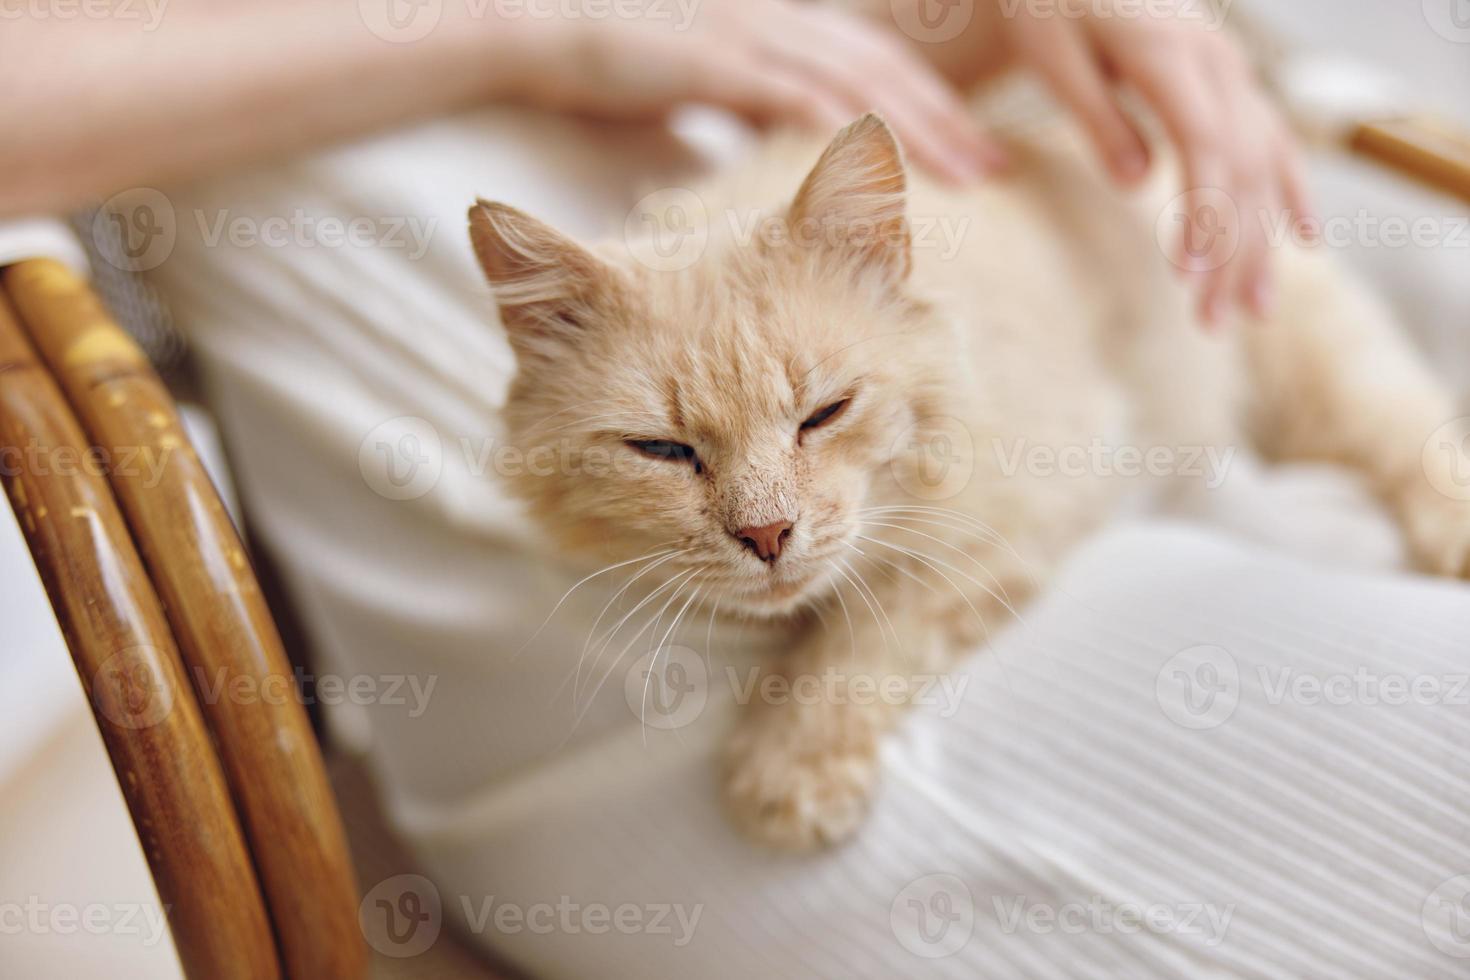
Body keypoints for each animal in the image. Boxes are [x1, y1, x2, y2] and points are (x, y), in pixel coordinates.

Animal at [467, 113, 1470, 852]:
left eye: (824, 413)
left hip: (1317, 372)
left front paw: (792, 770)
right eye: (664, 451)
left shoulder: (1023, 504)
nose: (766, 536)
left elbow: (862, 640)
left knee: (1410, 432)